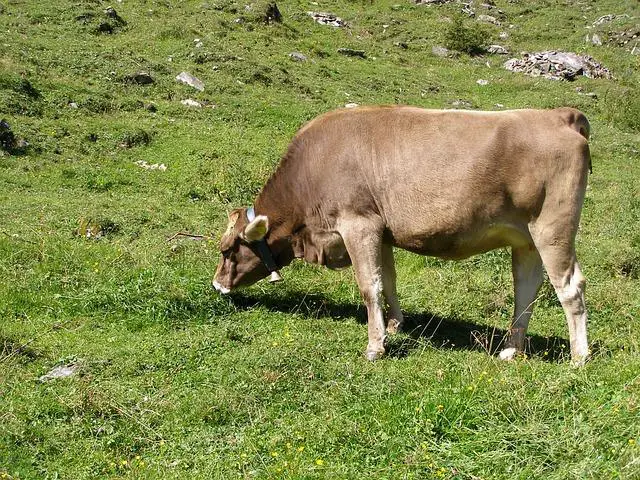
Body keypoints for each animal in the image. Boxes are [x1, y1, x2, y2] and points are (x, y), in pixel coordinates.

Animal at [212, 107, 592, 366]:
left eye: (228, 250)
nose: (216, 285)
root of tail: (557, 115)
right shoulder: (381, 232)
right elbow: (388, 281)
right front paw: (394, 325)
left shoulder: (358, 224)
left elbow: (369, 287)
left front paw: (375, 346)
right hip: (525, 240)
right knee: (526, 291)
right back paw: (511, 349)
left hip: (553, 230)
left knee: (570, 287)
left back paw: (579, 357)